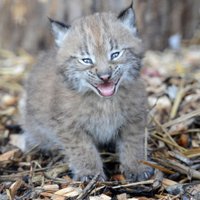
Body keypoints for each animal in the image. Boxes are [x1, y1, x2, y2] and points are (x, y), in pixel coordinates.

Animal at [21, 5, 152, 181]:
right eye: (86, 60)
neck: (105, 102)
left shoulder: (134, 117)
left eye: (115, 54)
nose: (105, 76)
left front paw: (137, 166)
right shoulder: (69, 125)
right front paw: (90, 173)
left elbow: (134, 143)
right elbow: (82, 148)